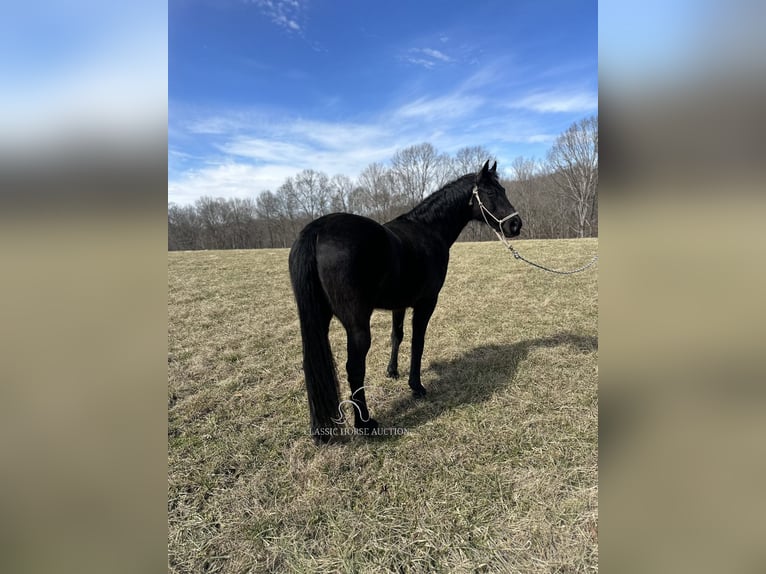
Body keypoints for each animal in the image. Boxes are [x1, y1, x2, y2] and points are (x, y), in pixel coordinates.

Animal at [288, 160, 520, 444]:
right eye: (490, 192)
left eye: (503, 189)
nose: (515, 225)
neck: (429, 230)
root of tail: (317, 230)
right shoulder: (426, 303)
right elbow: (417, 342)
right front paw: (416, 386)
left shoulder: (398, 304)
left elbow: (396, 336)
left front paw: (392, 372)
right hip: (357, 326)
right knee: (354, 368)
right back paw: (365, 423)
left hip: (319, 319)